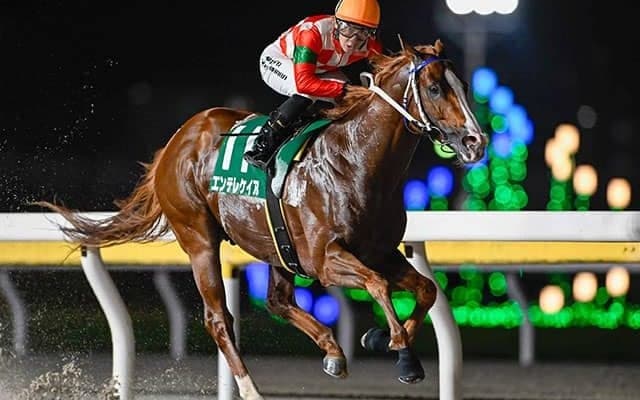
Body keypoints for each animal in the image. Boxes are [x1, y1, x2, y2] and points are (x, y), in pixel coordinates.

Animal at [38, 39, 487, 400]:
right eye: (435, 87)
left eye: (464, 86)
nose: (476, 142)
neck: (356, 162)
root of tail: (177, 140)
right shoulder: (325, 260)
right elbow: (377, 285)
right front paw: (404, 358)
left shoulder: (380, 251)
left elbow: (426, 289)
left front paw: (383, 339)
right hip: (198, 238)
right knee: (218, 318)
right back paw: (251, 388)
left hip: (277, 246)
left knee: (278, 300)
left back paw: (332, 352)